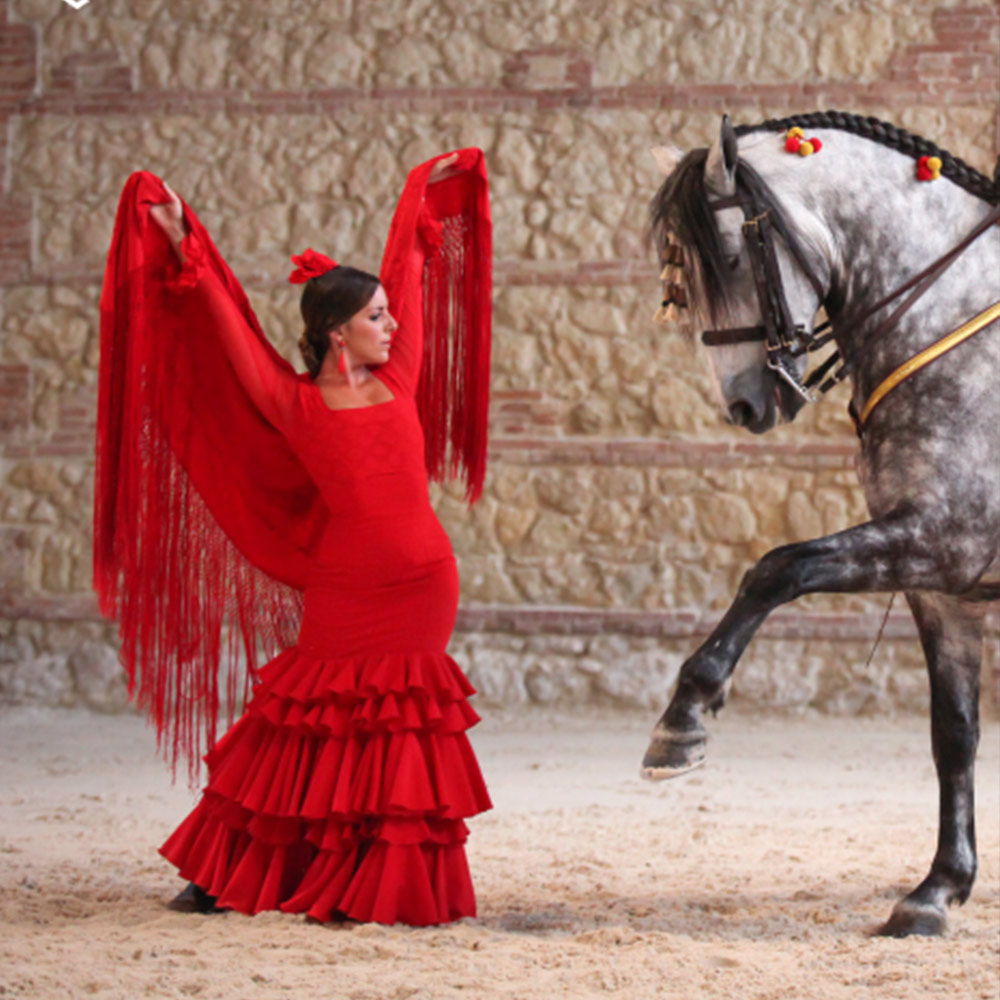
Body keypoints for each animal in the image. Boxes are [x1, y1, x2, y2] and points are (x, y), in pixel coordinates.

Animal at [642, 110, 1000, 937]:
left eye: (731, 257)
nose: (745, 405)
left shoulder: (945, 538)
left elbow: (778, 567)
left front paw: (684, 718)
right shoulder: (944, 584)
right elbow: (954, 733)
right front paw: (937, 890)